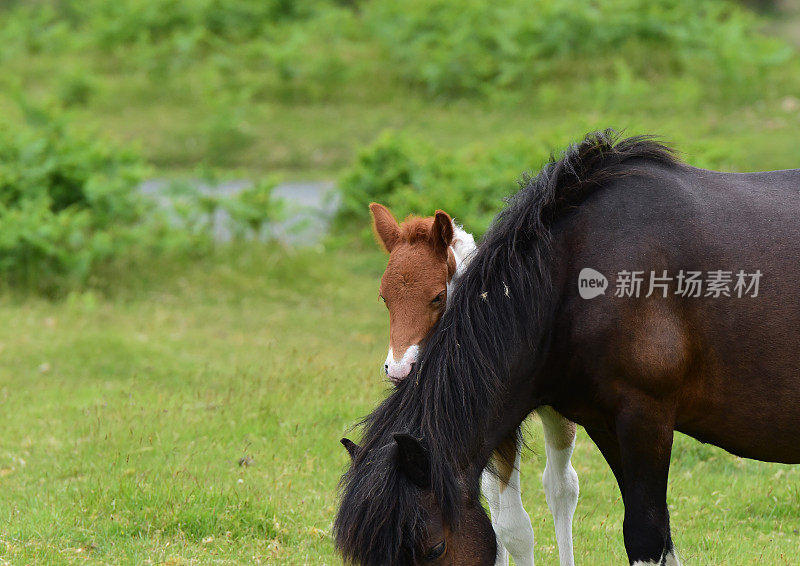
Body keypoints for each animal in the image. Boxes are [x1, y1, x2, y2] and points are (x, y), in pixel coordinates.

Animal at [334, 131, 800, 564]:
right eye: (383, 299)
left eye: (433, 549)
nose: (398, 370)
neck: (575, 276)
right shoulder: (604, 421)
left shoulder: (645, 418)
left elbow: (645, 535)